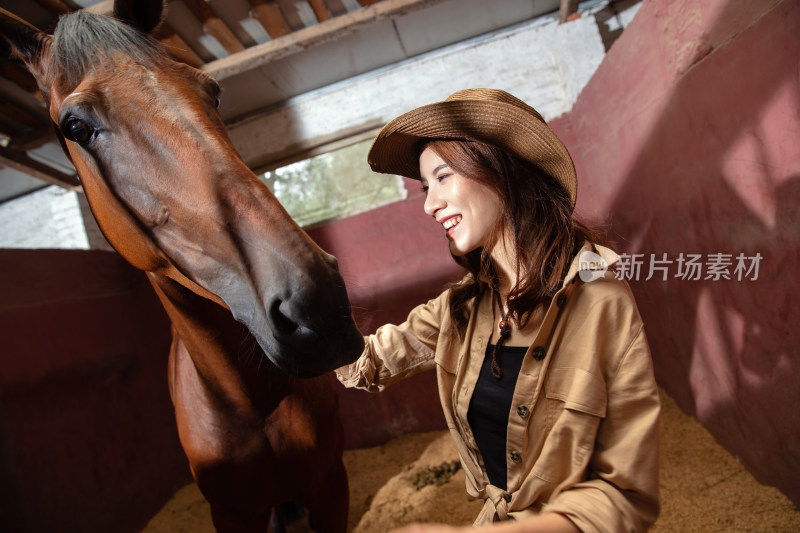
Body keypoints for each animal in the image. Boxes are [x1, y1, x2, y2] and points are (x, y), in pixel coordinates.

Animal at [0, 2, 362, 528]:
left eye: (212, 92)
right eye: (75, 128)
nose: (319, 305)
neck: (253, 403)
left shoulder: (331, 486)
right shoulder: (231, 514)